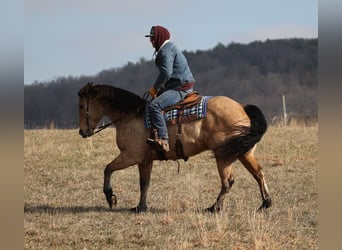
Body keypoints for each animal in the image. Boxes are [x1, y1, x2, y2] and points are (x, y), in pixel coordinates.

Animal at [78, 83, 272, 212]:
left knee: (228, 182)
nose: (82, 132)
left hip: (223, 156)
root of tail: (242, 107)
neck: (131, 115)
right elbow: (144, 183)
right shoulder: (145, 161)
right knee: (258, 173)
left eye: (81, 105)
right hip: (243, 153)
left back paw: (214, 207)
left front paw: (110, 197)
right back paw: (265, 203)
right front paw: (141, 206)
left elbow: (108, 169)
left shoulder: (131, 156)